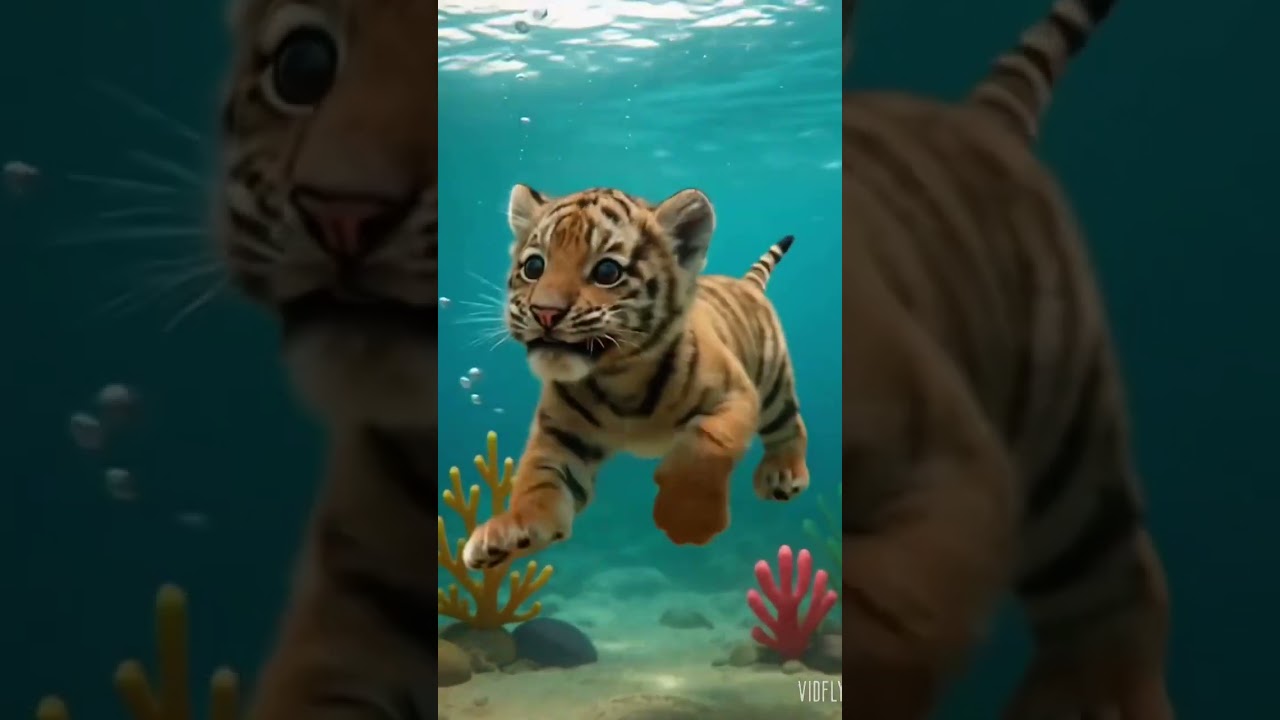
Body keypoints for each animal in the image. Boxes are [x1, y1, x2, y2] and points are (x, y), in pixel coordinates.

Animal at [460, 185, 809, 569]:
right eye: (534, 266)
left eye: (607, 271)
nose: (545, 313)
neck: (620, 377)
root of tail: (745, 284)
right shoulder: (560, 435)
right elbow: (537, 479)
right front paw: (508, 535)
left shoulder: (736, 395)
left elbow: (708, 445)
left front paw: (687, 521)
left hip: (773, 384)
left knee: (790, 425)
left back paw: (782, 475)